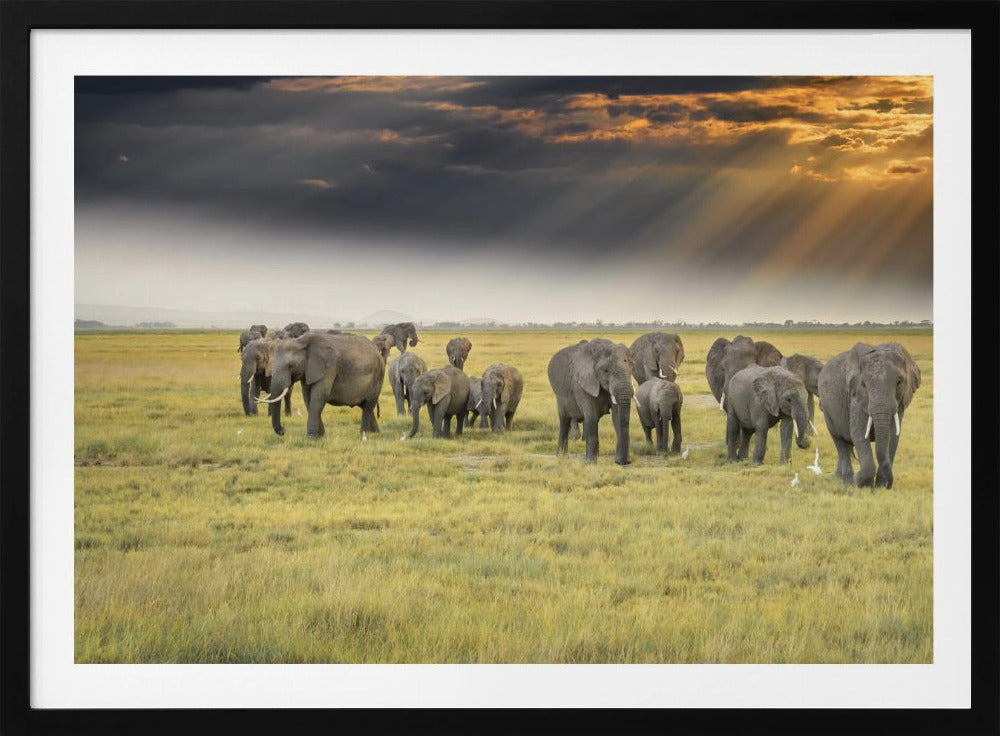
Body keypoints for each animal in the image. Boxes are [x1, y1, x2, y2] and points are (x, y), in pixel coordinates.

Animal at [817, 342, 920, 489]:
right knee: (840, 443)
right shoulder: (855, 398)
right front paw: (863, 484)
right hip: (827, 410)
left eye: (899, 382)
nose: (888, 484)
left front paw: (881, 487)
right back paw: (848, 482)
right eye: (863, 384)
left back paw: (839, 478)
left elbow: (893, 436)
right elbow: (859, 433)